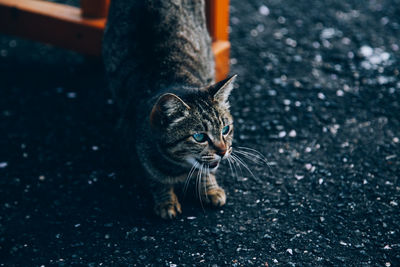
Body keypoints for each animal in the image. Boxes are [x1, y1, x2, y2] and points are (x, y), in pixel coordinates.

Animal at [101, 0, 236, 220]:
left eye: (225, 130)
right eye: (199, 137)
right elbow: (154, 178)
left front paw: (210, 188)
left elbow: (205, 171)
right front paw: (166, 200)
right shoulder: (131, 146)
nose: (224, 151)